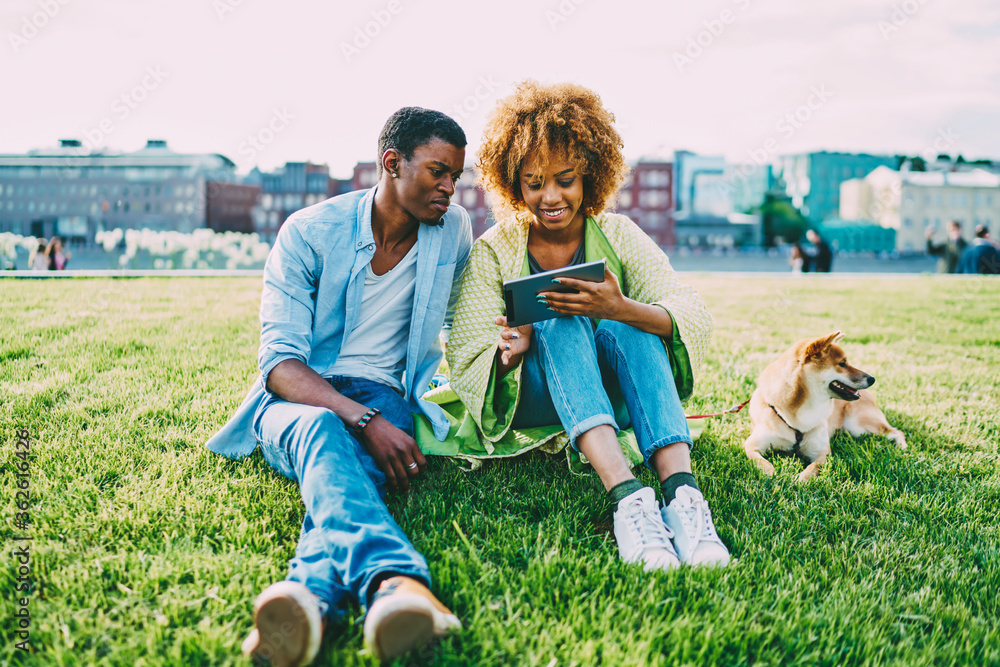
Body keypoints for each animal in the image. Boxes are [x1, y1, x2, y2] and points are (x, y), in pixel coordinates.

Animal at [744, 332, 908, 482]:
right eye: (842, 363)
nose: (872, 379)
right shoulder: (752, 446)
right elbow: (763, 463)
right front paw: (772, 476)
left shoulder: (822, 453)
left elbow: (812, 468)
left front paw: (800, 481)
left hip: (860, 426)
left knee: (897, 432)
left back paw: (903, 449)